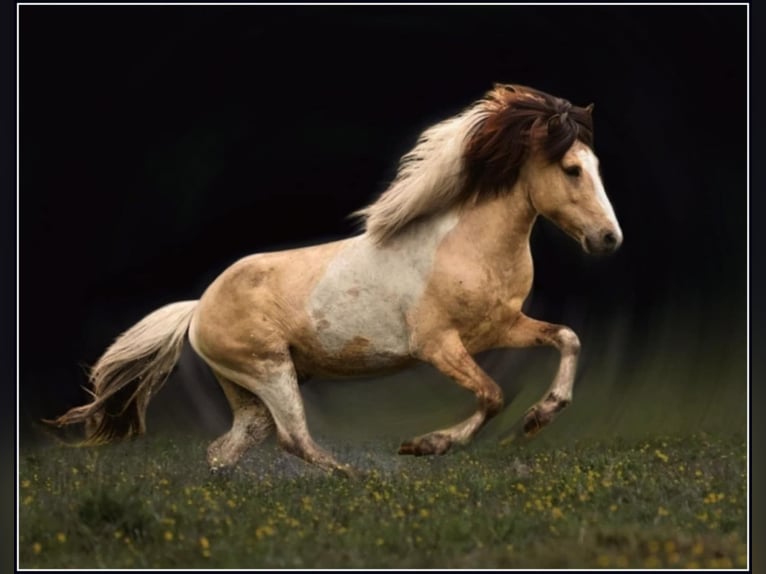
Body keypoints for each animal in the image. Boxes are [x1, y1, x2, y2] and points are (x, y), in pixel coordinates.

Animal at [49, 83, 622, 477]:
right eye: (572, 169)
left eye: (595, 165)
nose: (609, 239)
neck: (464, 246)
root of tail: (196, 308)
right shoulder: (438, 345)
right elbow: (492, 394)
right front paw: (425, 445)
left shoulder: (500, 328)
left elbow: (567, 338)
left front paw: (540, 417)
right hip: (269, 371)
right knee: (292, 440)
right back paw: (355, 480)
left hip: (253, 388)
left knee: (228, 448)